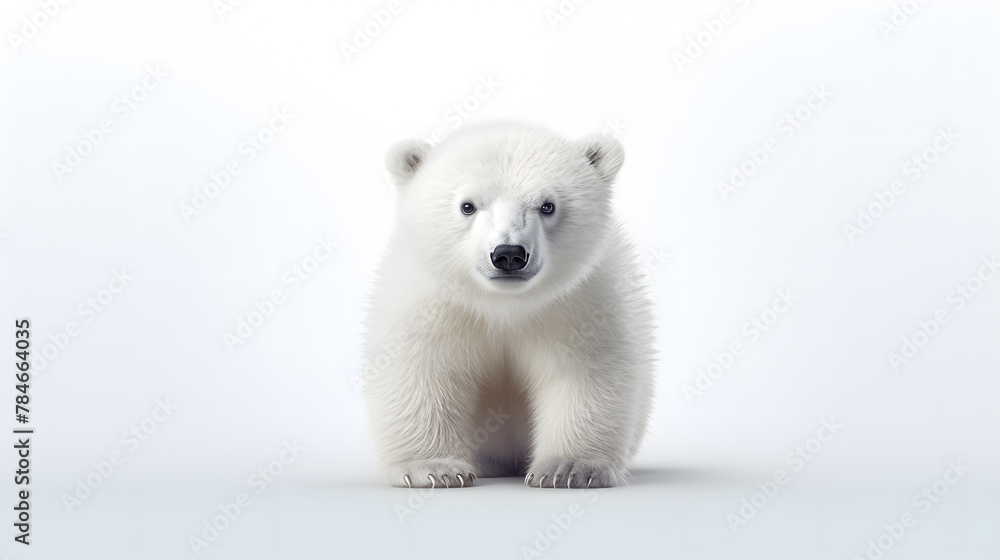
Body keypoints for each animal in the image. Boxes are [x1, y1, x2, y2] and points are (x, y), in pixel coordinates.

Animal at [363, 123, 655, 489]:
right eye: (468, 206)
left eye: (547, 206)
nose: (509, 254)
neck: (504, 304)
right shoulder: (432, 302)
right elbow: (422, 369)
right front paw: (433, 468)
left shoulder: (580, 302)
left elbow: (583, 372)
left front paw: (569, 469)